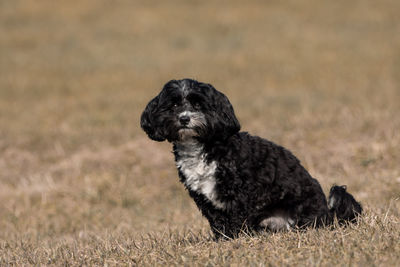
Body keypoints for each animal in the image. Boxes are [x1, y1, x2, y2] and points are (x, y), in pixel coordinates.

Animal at [141, 78, 362, 240]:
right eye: (174, 104)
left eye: (198, 104)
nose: (184, 118)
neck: (204, 146)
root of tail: (328, 213)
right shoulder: (203, 197)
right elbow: (217, 221)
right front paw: (223, 240)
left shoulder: (241, 192)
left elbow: (237, 217)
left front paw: (236, 238)